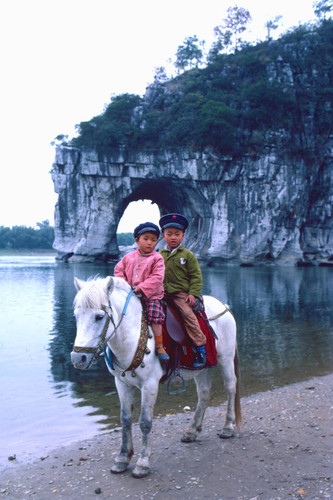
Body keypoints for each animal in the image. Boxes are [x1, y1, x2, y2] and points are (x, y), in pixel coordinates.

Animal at [71, 276, 240, 478]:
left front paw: (143, 462)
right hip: (202, 368)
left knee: (230, 388)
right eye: (76, 316)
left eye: (99, 316)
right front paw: (122, 458)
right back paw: (192, 431)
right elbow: (125, 419)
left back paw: (227, 427)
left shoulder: (150, 385)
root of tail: (224, 306)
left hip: (226, 359)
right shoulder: (121, 383)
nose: (78, 358)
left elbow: (145, 422)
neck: (132, 335)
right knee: (204, 393)